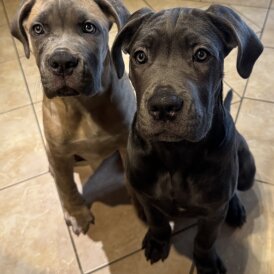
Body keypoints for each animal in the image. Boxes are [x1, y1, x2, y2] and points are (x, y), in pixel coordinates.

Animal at [11, 0, 136, 235]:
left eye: (88, 27)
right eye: (38, 29)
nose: (62, 62)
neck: (84, 105)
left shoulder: (126, 143)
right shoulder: (60, 153)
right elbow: (66, 186)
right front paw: (76, 213)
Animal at [111, 4, 264, 274]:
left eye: (201, 54)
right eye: (140, 56)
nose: (164, 106)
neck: (176, 154)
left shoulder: (213, 213)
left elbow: (204, 240)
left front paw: (206, 263)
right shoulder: (147, 197)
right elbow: (158, 222)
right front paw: (157, 241)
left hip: (247, 170)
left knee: (236, 187)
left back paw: (234, 208)